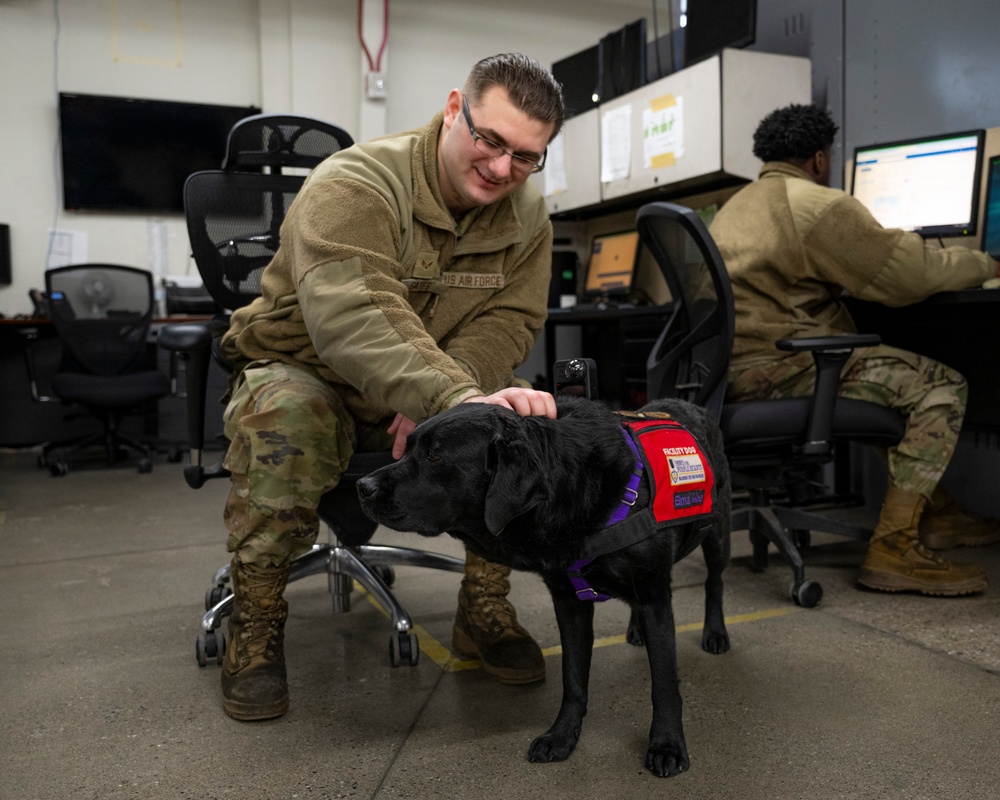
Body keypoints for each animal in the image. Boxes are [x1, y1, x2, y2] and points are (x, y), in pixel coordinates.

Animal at [356, 396, 732, 780]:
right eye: (406, 448)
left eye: (434, 456)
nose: (361, 486)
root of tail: (689, 403)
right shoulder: (569, 601)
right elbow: (573, 678)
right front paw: (563, 735)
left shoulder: (654, 597)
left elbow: (665, 684)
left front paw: (667, 745)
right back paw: (637, 630)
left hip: (717, 535)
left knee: (714, 582)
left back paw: (715, 633)